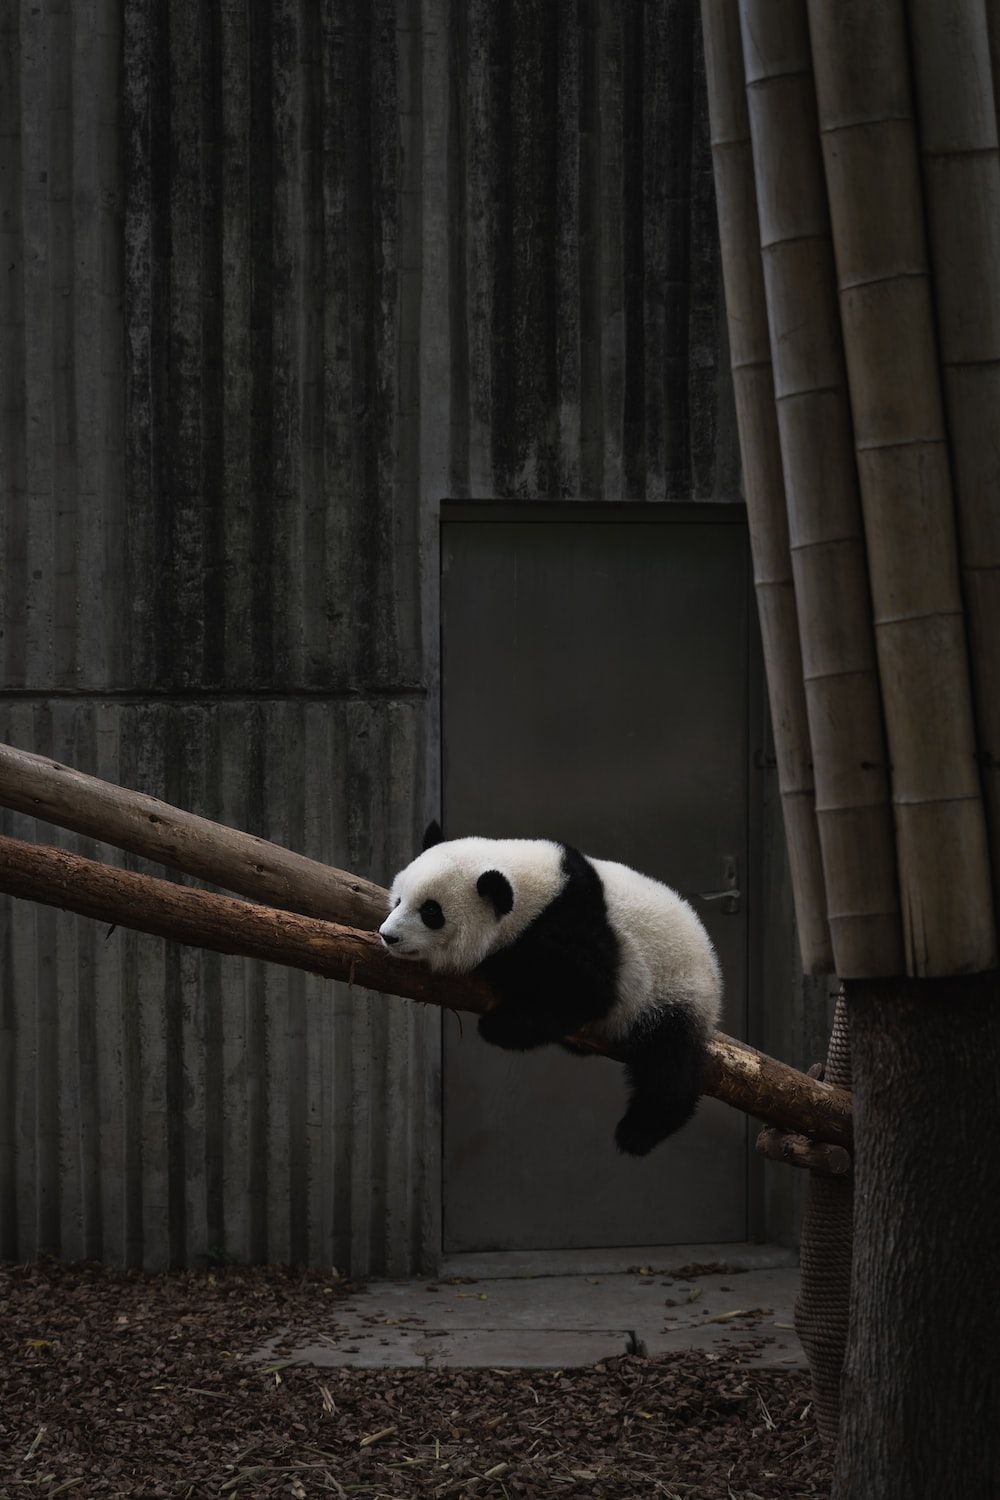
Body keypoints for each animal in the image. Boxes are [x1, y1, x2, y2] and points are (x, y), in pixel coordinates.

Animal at [379, 828, 722, 1152]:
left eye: (431, 912)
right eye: (399, 900)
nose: (388, 936)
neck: (538, 890)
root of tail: (713, 974)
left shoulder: (574, 926)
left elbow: (586, 991)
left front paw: (499, 1020)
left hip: (673, 991)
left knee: (668, 1064)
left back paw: (639, 1131)